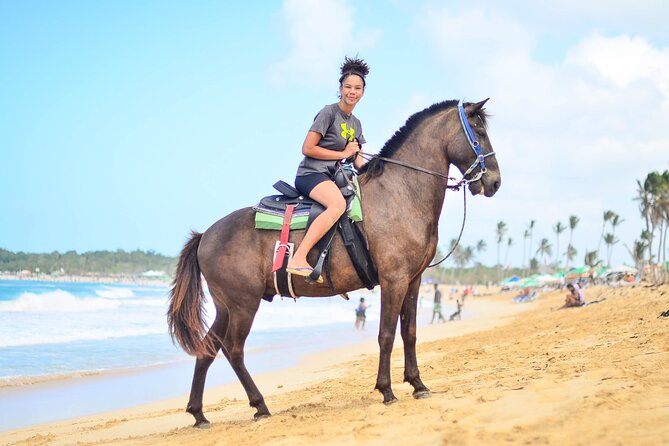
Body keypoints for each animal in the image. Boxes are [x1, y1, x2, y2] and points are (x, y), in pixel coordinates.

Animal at [168, 99, 500, 426]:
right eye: (480, 132)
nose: (495, 182)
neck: (401, 194)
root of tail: (206, 235)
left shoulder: (413, 280)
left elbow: (410, 333)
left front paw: (418, 384)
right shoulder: (394, 280)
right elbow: (386, 335)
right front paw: (387, 390)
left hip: (227, 306)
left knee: (208, 349)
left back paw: (199, 413)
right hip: (242, 304)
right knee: (233, 350)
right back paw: (259, 405)